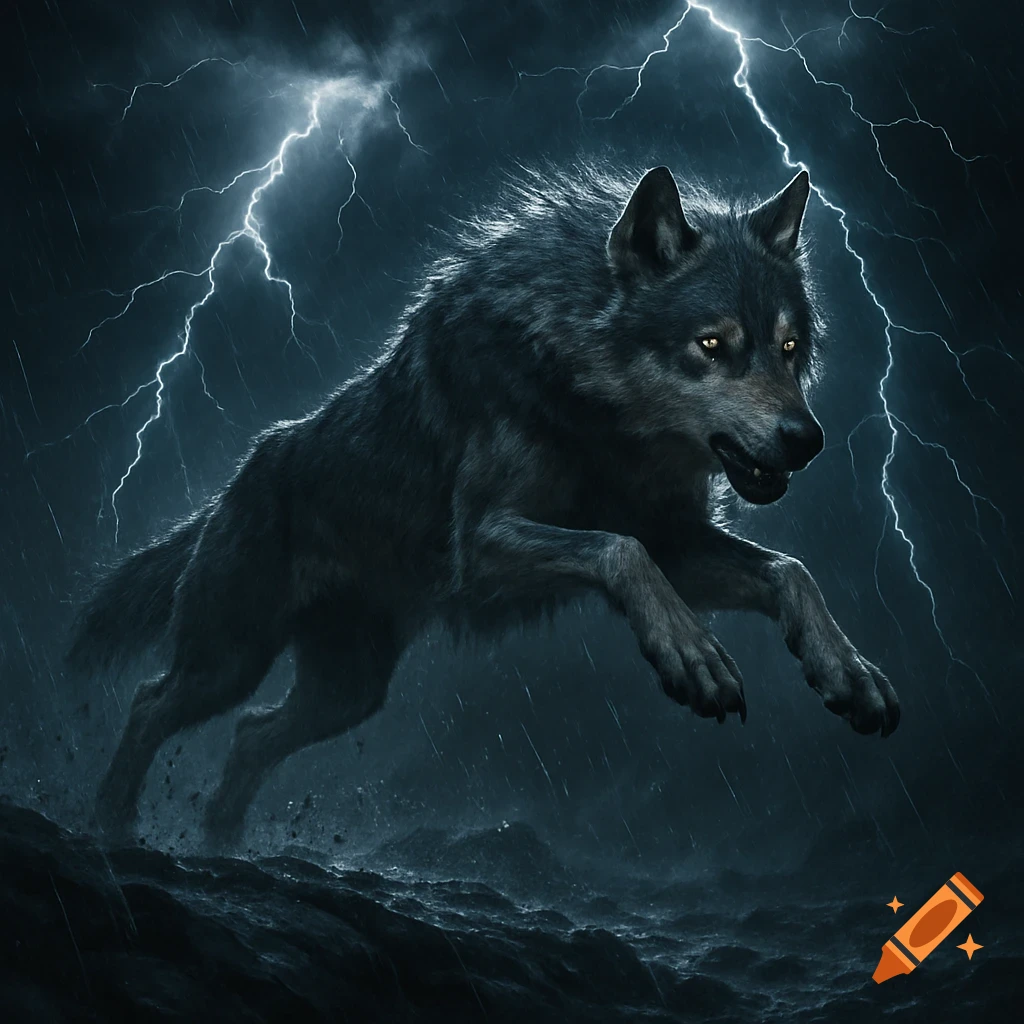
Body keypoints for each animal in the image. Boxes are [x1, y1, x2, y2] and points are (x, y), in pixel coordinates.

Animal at [68, 162, 900, 848]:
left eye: (788, 348)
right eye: (712, 345)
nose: (807, 440)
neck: (592, 411)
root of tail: (235, 480)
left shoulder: (680, 544)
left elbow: (790, 570)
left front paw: (847, 671)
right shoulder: (487, 543)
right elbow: (617, 550)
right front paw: (691, 655)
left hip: (346, 694)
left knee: (249, 734)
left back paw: (222, 842)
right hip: (231, 658)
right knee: (150, 702)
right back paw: (111, 823)